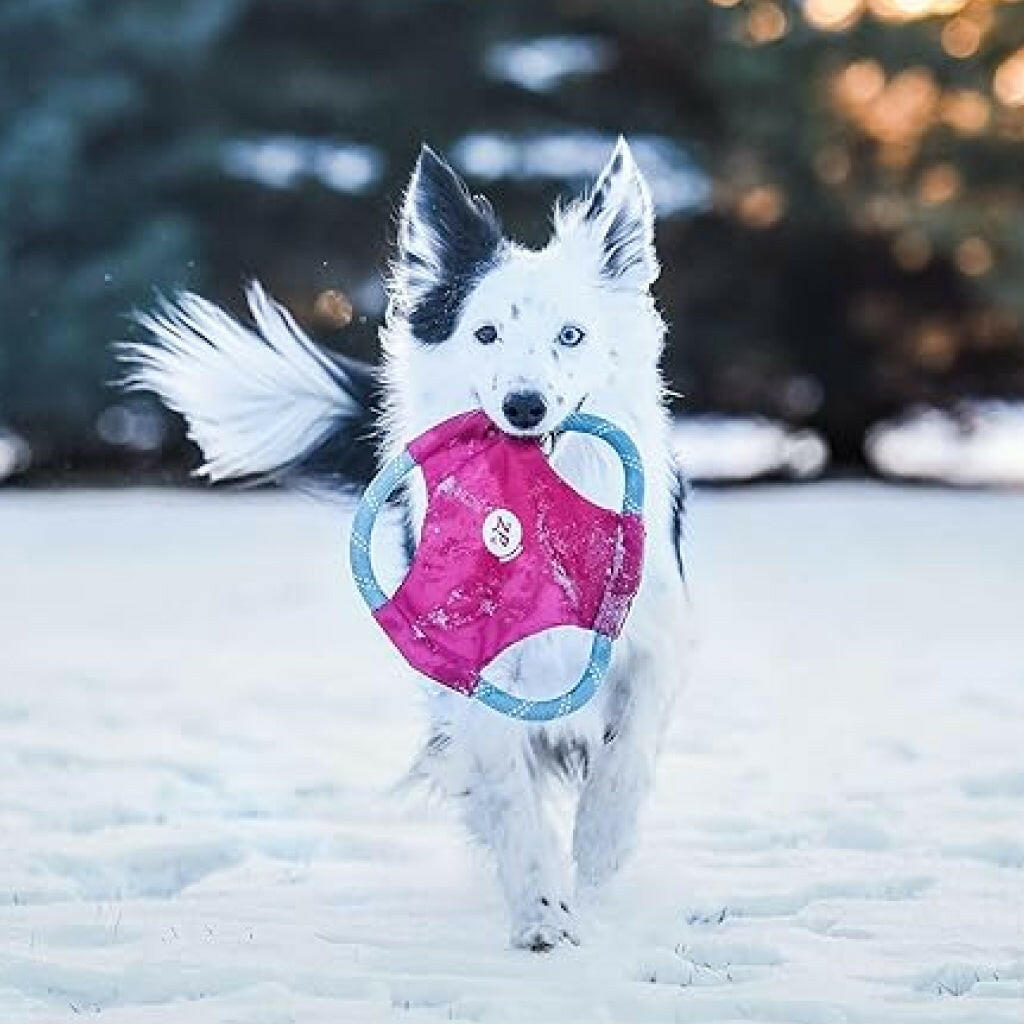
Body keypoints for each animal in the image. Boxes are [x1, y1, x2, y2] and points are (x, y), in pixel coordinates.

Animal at [123, 136, 692, 950]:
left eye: (571, 335)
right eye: (485, 333)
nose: (525, 406)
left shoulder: (655, 635)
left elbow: (629, 743)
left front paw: (601, 842)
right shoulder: (475, 671)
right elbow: (508, 791)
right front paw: (540, 910)